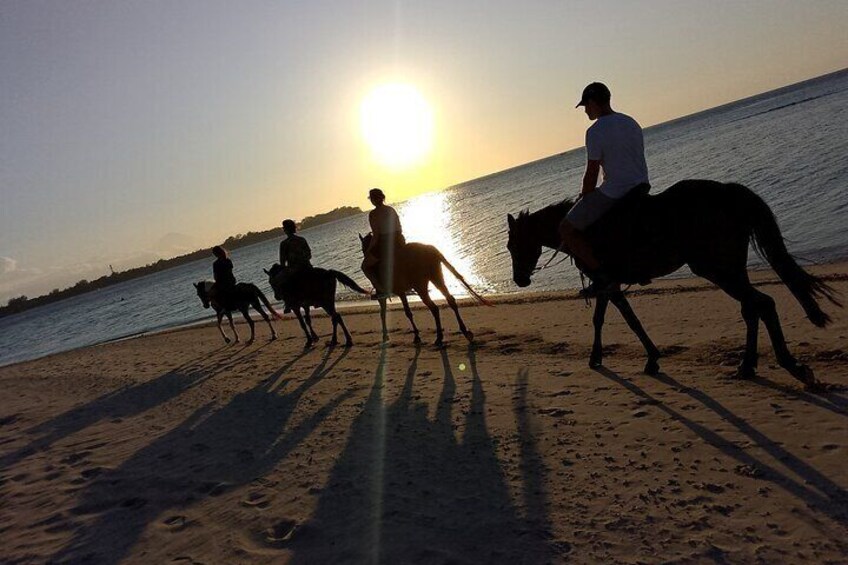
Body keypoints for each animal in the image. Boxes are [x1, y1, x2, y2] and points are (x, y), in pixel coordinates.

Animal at [358, 229, 490, 344]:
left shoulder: (387, 294)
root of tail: (430, 249)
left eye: (364, 248)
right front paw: (415, 335)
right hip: (436, 278)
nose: (365, 254)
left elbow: (385, 313)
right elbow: (406, 312)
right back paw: (464, 332)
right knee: (450, 300)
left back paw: (439, 337)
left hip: (420, 286)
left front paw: (389, 335)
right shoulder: (401, 292)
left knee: (434, 308)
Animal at [506, 180, 840, 388]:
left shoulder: (605, 282)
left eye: (512, 245)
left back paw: (791, 366)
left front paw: (615, 357)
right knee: (752, 308)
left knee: (761, 304)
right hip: (731, 268)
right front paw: (641, 357)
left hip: (717, 269)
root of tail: (728, 193)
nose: (519, 279)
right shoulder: (608, 284)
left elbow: (615, 319)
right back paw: (748, 365)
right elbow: (616, 317)